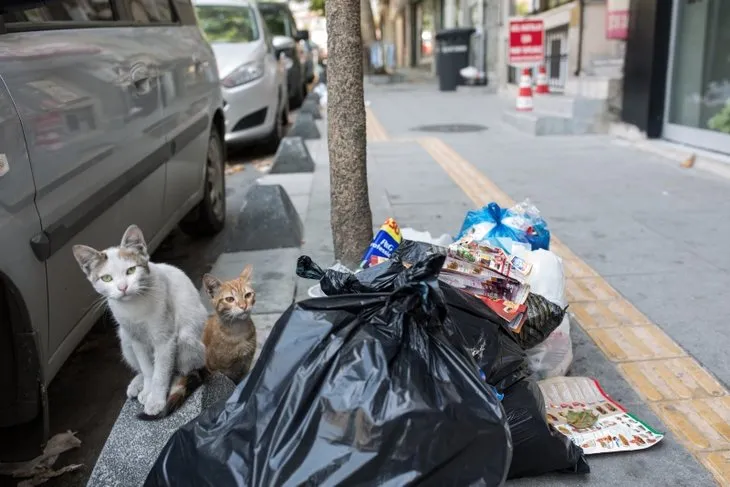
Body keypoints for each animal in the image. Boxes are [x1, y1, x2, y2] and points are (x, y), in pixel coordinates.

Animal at [73, 225, 208, 420]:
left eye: (131, 270)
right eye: (107, 278)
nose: (123, 287)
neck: (133, 307)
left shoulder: (165, 339)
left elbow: (161, 372)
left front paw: (156, 400)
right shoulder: (135, 339)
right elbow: (147, 368)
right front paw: (148, 389)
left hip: (187, 337)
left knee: (183, 368)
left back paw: (175, 381)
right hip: (124, 338)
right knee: (140, 365)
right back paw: (138, 383)